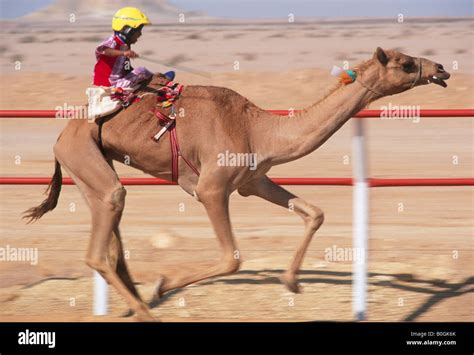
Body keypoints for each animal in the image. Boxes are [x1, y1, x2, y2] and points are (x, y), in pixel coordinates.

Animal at [23, 48, 452, 322]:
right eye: (404, 63)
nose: (441, 68)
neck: (259, 128)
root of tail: (62, 134)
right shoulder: (210, 189)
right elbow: (232, 258)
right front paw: (163, 283)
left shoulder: (253, 181)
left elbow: (313, 213)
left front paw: (292, 282)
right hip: (84, 156)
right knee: (100, 245)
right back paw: (146, 311)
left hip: (92, 169)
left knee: (112, 239)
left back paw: (134, 305)